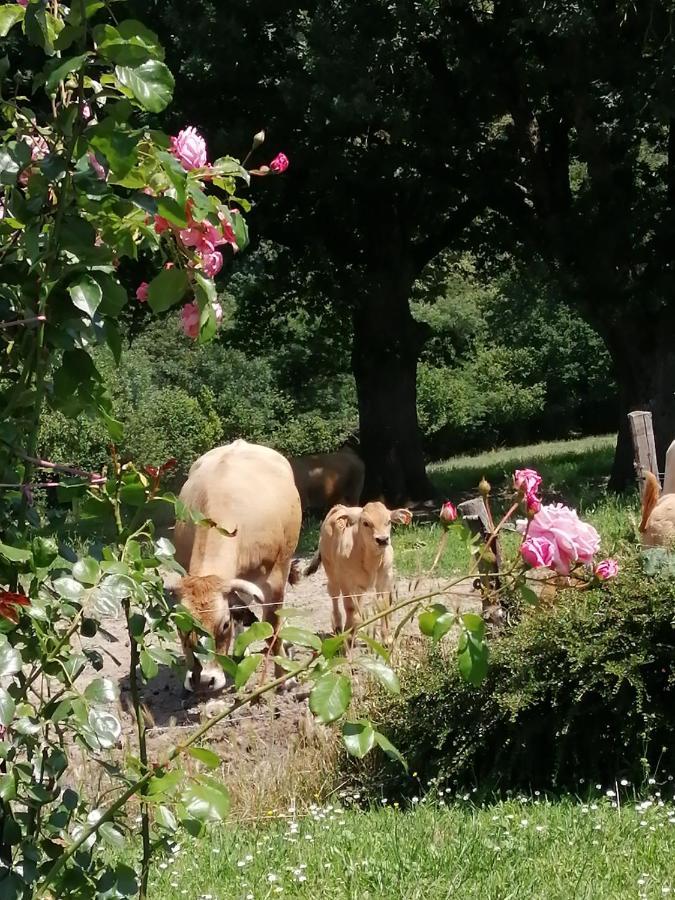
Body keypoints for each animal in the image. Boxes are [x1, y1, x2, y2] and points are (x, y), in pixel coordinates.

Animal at [174, 440, 302, 692]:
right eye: (181, 628)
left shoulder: (273, 581)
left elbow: (273, 627)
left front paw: (285, 677)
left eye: (224, 625)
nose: (202, 681)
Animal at [306, 500, 412, 640]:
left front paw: (387, 639)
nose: (382, 540)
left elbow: (384, 605)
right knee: (334, 594)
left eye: (388, 521)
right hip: (332, 572)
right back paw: (338, 626)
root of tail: (339, 507)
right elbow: (350, 607)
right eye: (366, 523)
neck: (371, 561)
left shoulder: (385, 578)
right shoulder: (347, 582)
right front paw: (348, 635)